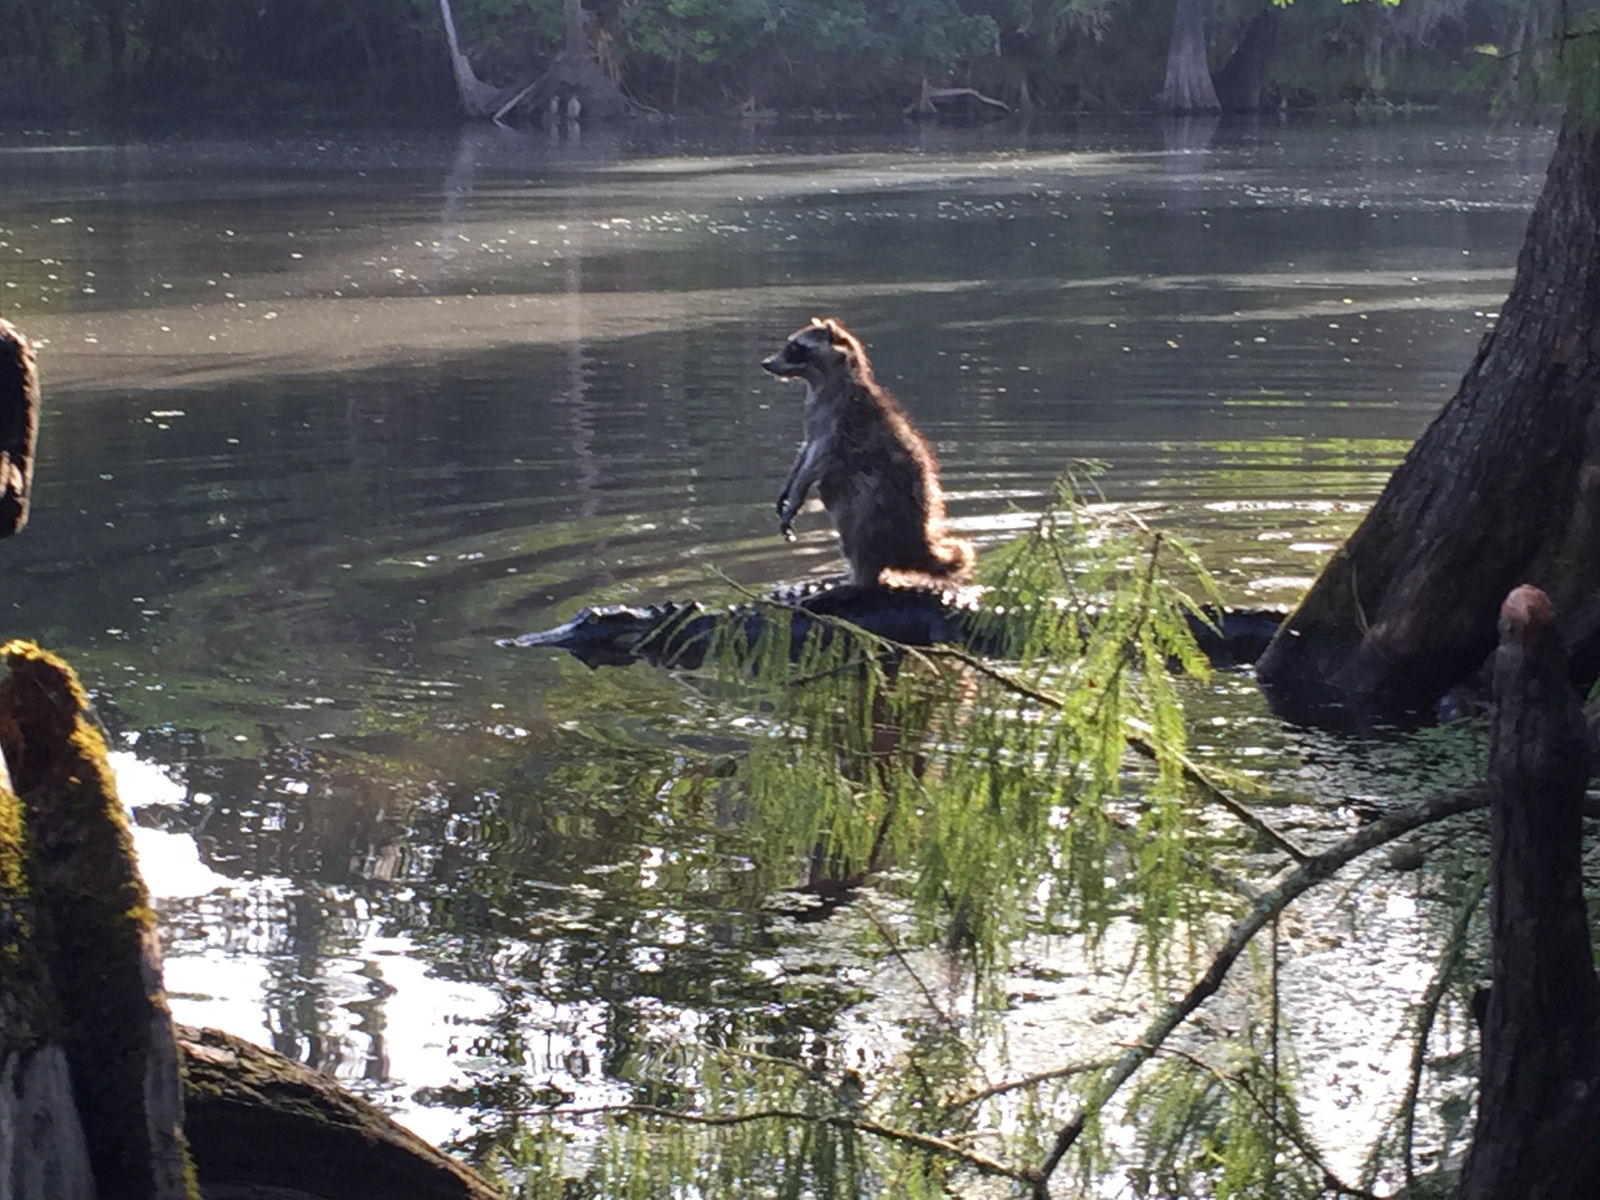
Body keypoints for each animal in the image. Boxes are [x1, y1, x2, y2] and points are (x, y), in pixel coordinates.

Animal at [761, 316, 972, 585]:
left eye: (795, 347)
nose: (766, 363)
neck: (822, 382)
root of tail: (916, 546)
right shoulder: (815, 418)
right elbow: (805, 451)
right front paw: (787, 487)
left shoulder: (839, 420)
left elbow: (816, 461)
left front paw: (795, 496)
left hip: (879, 506)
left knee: (858, 521)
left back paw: (859, 576)